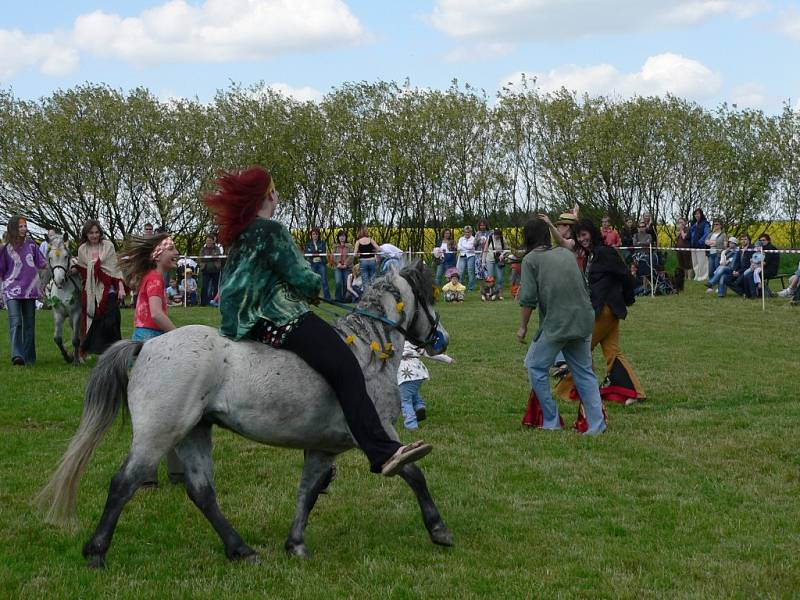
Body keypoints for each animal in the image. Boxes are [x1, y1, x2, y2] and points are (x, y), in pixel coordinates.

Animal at [39, 262, 450, 568]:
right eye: (430, 296)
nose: (440, 338)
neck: (367, 349)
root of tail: (147, 347)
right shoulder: (379, 433)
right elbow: (412, 471)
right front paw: (438, 530)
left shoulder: (322, 449)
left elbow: (308, 491)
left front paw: (295, 544)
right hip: (159, 434)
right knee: (124, 483)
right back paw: (96, 552)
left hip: (193, 432)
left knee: (201, 491)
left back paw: (240, 550)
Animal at [43, 234, 83, 366]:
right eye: (50, 258)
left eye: (66, 256)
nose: (59, 280)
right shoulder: (58, 313)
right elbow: (57, 338)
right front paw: (67, 357)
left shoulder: (76, 312)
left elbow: (75, 339)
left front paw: (76, 361)